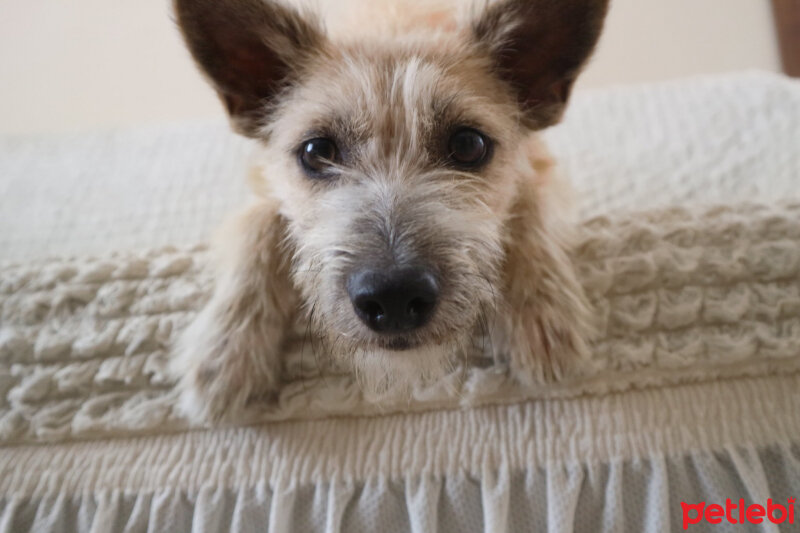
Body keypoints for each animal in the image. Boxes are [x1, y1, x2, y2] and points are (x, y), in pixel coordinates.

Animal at [169, 0, 608, 424]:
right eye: (317, 151)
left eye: (469, 145)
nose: (393, 297)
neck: (394, 26)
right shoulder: (262, 184)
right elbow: (258, 227)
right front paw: (226, 352)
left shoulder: (541, 167)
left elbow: (524, 206)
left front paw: (542, 311)